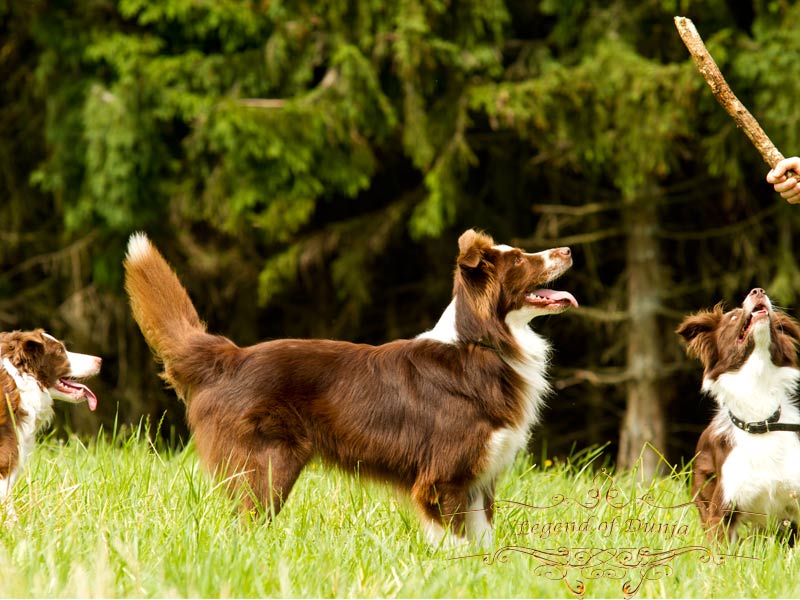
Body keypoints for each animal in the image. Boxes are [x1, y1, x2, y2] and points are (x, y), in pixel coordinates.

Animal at [122, 229, 576, 544]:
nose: (568, 250)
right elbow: (455, 539)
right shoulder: (444, 477)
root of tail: (229, 358)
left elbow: (482, 538)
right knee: (245, 520)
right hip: (267, 463)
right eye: (519, 259)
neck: (480, 344)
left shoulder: (481, 477)